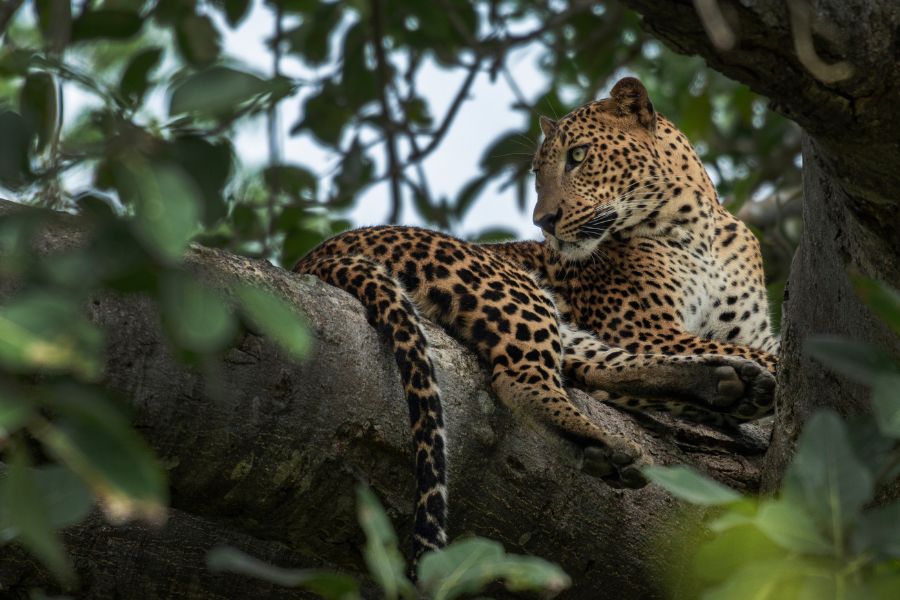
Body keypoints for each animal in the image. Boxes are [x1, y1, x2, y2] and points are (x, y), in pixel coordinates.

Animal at [296, 77, 780, 564]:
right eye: (536, 174)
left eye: (579, 156)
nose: (543, 221)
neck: (702, 229)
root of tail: (314, 257)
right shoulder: (645, 329)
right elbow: (765, 354)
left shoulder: (733, 330)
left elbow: (760, 349)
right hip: (506, 283)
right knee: (522, 379)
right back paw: (609, 443)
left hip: (555, 319)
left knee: (595, 366)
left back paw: (729, 386)